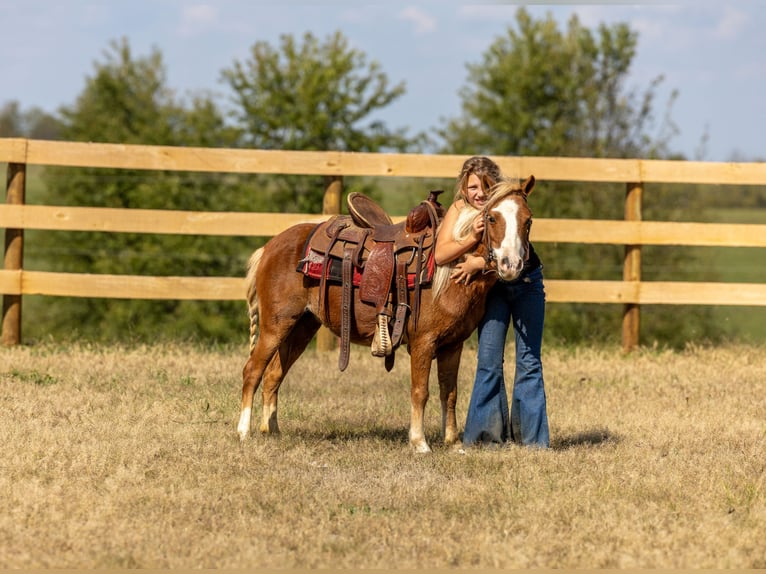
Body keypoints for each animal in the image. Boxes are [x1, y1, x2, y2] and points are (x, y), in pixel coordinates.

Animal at [238, 176, 536, 453]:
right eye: (491, 217)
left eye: (528, 220)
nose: (510, 264)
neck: (447, 271)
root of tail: (271, 246)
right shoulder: (424, 342)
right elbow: (420, 391)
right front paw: (419, 443)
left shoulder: (453, 344)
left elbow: (449, 392)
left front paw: (453, 443)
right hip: (275, 326)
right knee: (253, 370)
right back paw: (243, 432)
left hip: (302, 326)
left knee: (274, 374)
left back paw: (271, 430)